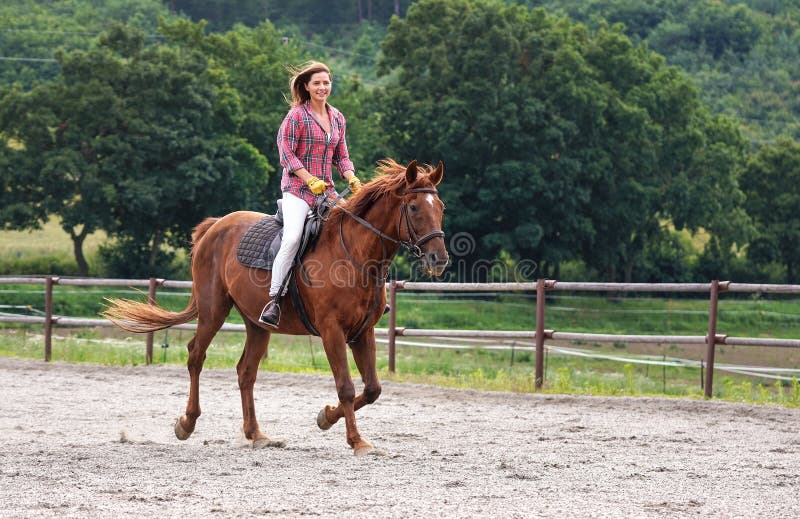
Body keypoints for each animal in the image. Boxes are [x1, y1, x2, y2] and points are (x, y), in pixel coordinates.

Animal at [103, 158, 446, 456]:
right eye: (414, 207)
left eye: (440, 208)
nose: (439, 259)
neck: (354, 254)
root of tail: (215, 227)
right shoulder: (332, 331)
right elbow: (346, 387)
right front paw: (357, 441)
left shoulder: (363, 332)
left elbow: (372, 388)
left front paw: (325, 417)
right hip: (213, 311)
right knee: (195, 356)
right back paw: (186, 423)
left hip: (257, 324)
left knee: (245, 372)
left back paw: (256, 434)